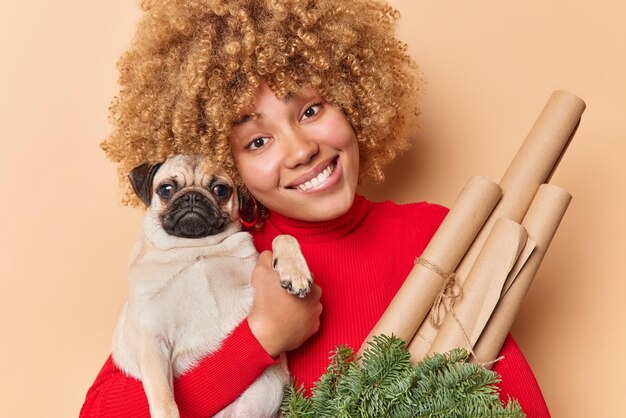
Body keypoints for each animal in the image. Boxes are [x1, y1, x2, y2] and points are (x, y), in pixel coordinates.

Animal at [111, 154, 310, 418]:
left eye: (220, 190)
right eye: (166, 189)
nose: (193, 196)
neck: (196, 248)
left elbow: (282, 238)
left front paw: (295, 272)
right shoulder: (153, 341)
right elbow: (164, 399)